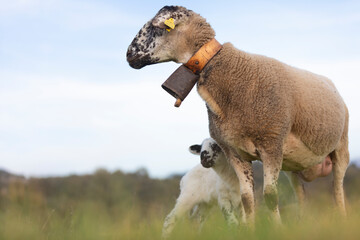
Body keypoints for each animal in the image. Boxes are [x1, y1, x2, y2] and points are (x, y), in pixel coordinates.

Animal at [126, 5, 348, 226]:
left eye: (158, 27)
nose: (128, 55)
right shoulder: (235, 151)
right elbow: (247, 199)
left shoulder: (271, 144)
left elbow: (270, 197)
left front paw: (277, 229)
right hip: (293, 164)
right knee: (301, 195)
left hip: (340, 148)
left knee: (337, 191)